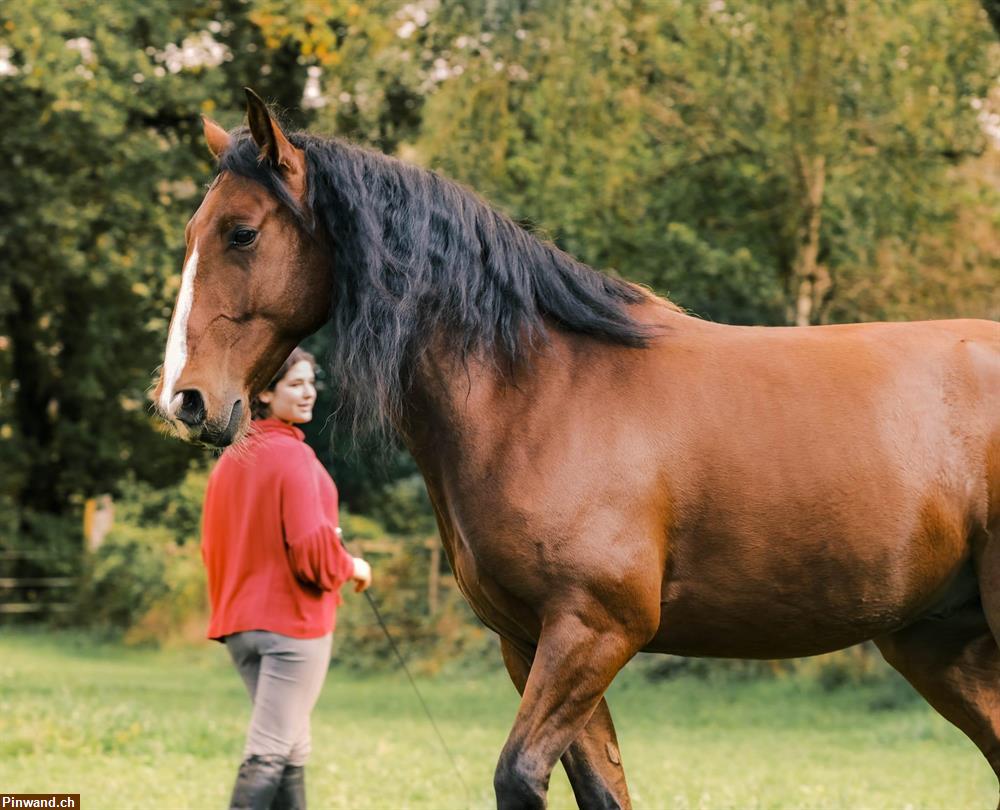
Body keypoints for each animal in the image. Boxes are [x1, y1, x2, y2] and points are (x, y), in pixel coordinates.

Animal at [152, 90, 996, 808]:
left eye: (241, 233)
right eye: (190, 235)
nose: (183, 400)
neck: (542, 393)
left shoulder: (594, 630)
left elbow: (520, 775)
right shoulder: (531, 642)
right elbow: (600, 787)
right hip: (936, 642)